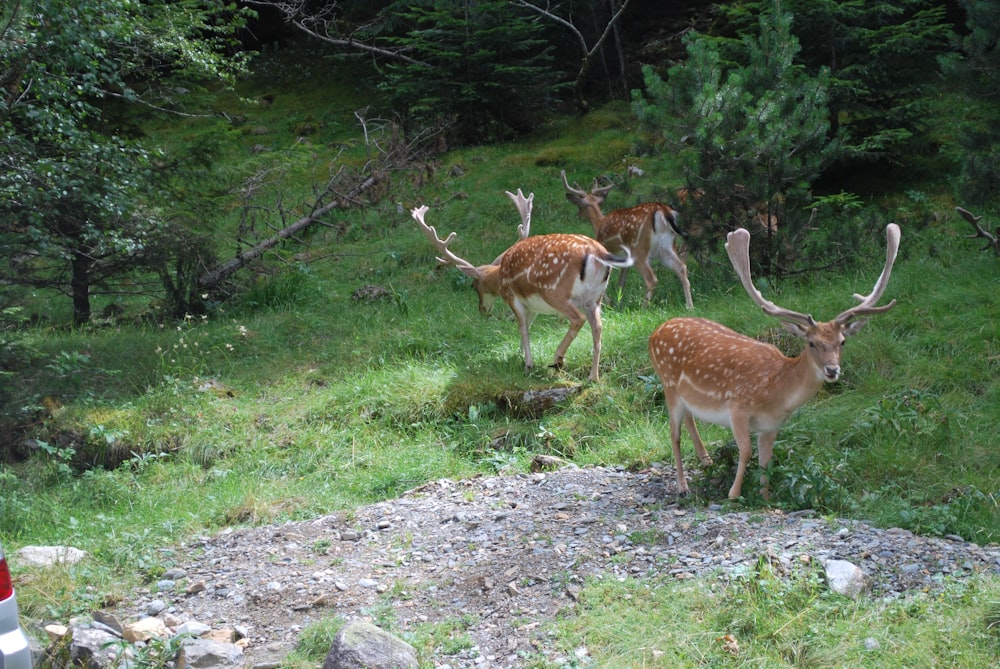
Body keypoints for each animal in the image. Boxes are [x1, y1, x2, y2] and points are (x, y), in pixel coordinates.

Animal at [408, 190, 632, 384]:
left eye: (473, 285)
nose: (482, 309)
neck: (500, 275)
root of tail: (598, 254)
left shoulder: (512, 296)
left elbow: (522, 327)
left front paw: (528, 364)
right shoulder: (533, 305)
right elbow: (529, 326)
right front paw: (518, 355)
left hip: (555, 291)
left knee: (578, 319)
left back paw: (558, 358)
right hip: (595, 297)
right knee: (598, 327)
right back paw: (593, 377)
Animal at [560, 171, 692, 310]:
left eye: (579, 206)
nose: (578, 215)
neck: (599, 223)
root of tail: (663, 210)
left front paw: (608, 302)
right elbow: (621, 281)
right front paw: (618, 303)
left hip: (638, 248)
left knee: (651, 278)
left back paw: (643, 307)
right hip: (666, 246)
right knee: (681, 267)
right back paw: (689, 306)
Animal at [644, 222, 904, 498]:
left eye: (842, 341)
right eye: (811, 343)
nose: (832, 369)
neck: (778, 392)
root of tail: (654, 333)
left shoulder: (771, 425)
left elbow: (765, 460)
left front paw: (765, 496)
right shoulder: (737, 407)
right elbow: (746, 451)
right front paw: (733, 494)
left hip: (683, 394)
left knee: (689, 418)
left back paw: (705, 460)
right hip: (668, 384)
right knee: (674, 434)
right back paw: (683, 486)